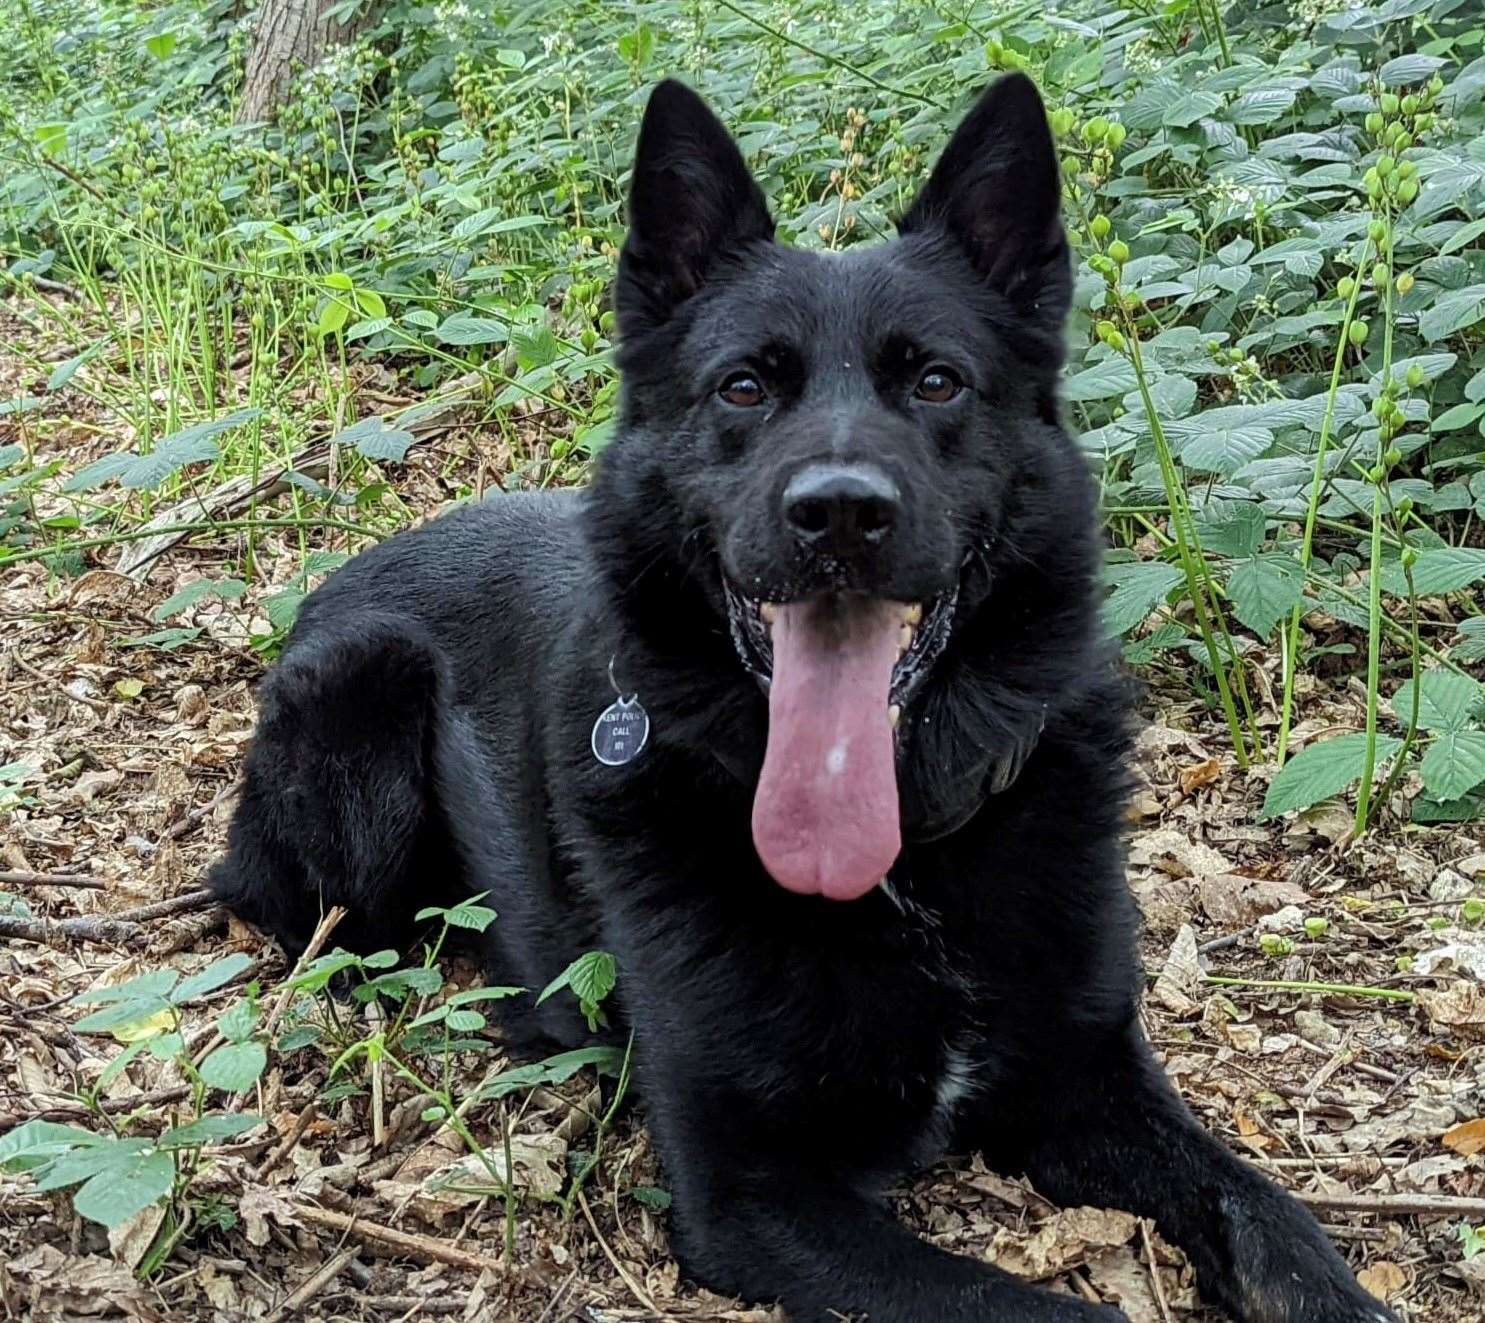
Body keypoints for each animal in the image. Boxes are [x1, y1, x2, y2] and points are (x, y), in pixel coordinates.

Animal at [215, 74, 1395, 1323]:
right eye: (743, 387)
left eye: (936, 380)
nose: (839, 513)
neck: (906, 865)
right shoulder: (752, 1190)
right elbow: (1031, 1307)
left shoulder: (1091, 1081)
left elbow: (1265, 1212)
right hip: (365, 709)